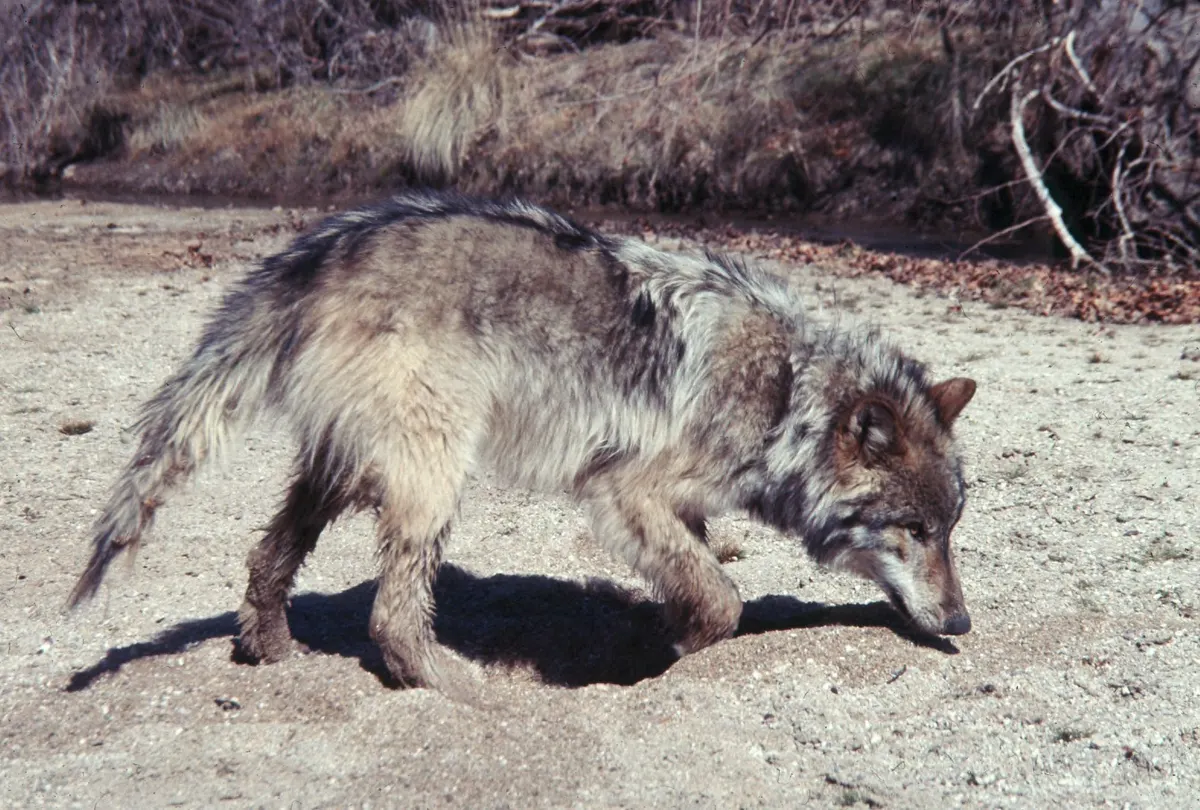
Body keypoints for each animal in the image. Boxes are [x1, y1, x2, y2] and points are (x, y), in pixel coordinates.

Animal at [68, 191, 976, 692]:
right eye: (915, 530)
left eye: (950, 531)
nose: (963, 623)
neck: (790, 392)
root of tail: (321, 248)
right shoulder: (624, 490)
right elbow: (723, 601)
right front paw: (676, 655)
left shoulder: (672, 510)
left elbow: (696, 581)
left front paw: (662, 639)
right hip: (432, 475)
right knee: (391, 618)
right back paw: (453, 687)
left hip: (347, 471)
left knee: (267, 556)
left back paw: (269, 647)